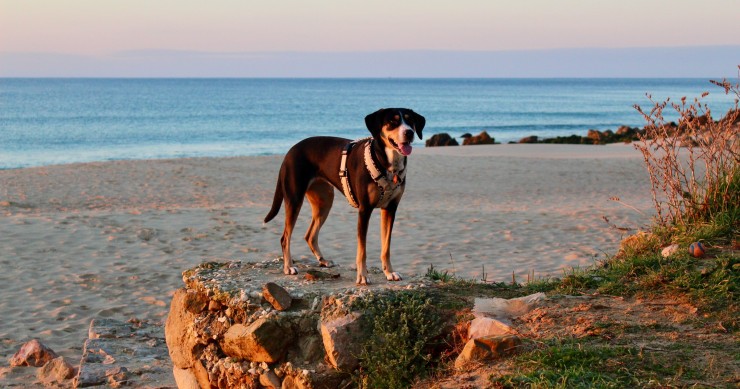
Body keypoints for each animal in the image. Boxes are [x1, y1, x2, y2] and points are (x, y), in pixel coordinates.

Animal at [264, 107, 428, 284]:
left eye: (410, 121)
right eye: (393, 121)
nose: (409, 132)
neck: (387, 164)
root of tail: (290, 151)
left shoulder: (390, 209)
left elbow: (386, 247)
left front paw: (389, 272)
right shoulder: (364, 210)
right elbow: (362, 249)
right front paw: (362, 276)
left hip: (325, 201)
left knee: (310, 235)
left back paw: (323, 261)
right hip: (295, 199)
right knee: (285, 237)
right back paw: (288, 267)